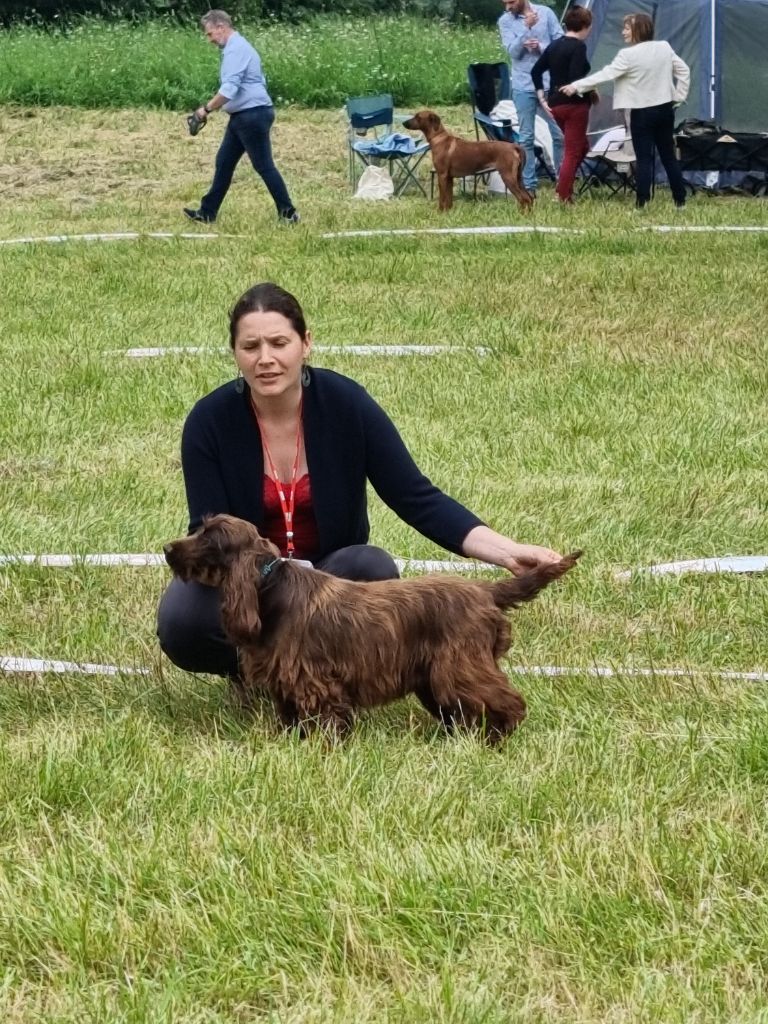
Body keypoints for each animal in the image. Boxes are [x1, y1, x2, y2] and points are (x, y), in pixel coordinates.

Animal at [403, 109, 536, 212]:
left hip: (508, 176)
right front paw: (448, 213)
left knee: (523, 198)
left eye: (418, 117)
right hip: (518, 177)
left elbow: (442, 198)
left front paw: (440, 212)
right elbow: (449, 199)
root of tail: (514, 146)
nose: (404, 123)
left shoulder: (442, 175)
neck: (438, 138)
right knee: (529, 198)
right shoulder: (449, 177)